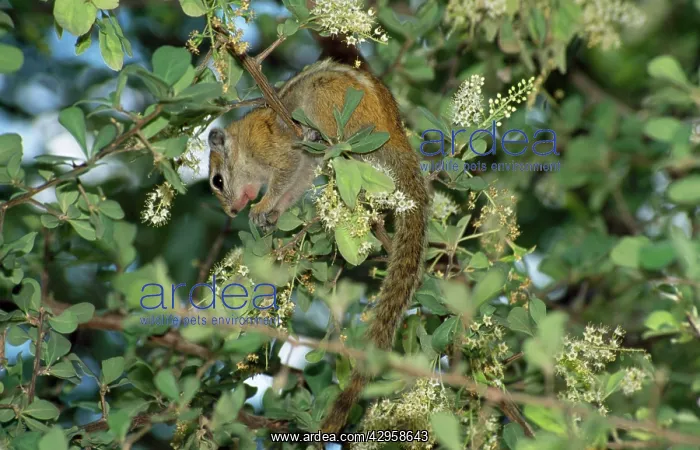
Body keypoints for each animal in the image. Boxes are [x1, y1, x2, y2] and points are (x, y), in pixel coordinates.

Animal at [207, 54, 429, 433]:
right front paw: (271, 215)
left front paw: (264, 207)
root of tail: (397, 136)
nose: (234, 211)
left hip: (332, 105)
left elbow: (286, 174)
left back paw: (316, 134)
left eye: (218, 181)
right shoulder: (301, 164)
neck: (243, 146)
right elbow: (296, 182)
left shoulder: (276, 149)